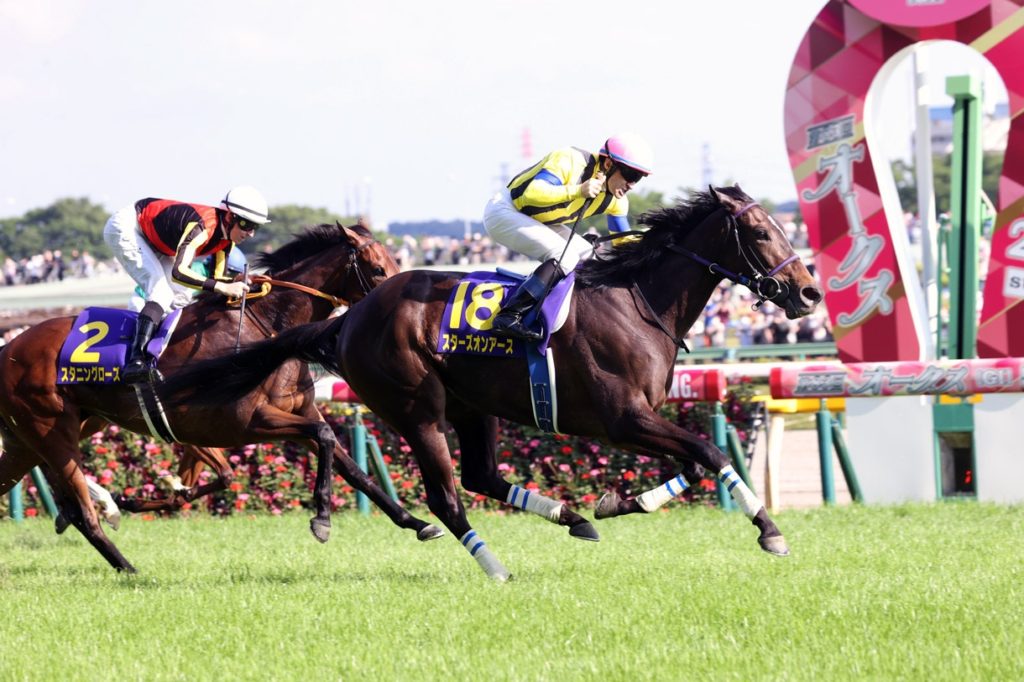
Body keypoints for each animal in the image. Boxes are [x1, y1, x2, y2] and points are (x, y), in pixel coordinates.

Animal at [0, 223, 440, 573]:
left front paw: (418, 523)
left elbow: (355, 470)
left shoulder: (295, 414)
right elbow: (326, 437)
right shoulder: (244, 421)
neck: (266, 326)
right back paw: (129, 566)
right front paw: (321, 520)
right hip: (53, 432)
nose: (400, 299)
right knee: (83, 514)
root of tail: (9, 349)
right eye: (378, 268)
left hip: (42, 437)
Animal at [161, 186, 823, 580]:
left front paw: (615, 503)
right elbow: (711, 452)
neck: (637, 302)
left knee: (481, 475)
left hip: (472, 406)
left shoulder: (640, 419)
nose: (810, 292)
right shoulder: (622, 418)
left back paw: (571, 517)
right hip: (417, 409)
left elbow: (697, 461)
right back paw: (494, 565)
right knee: (447, 496)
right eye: (761, 233)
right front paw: (770, 532)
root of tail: (350, 316)